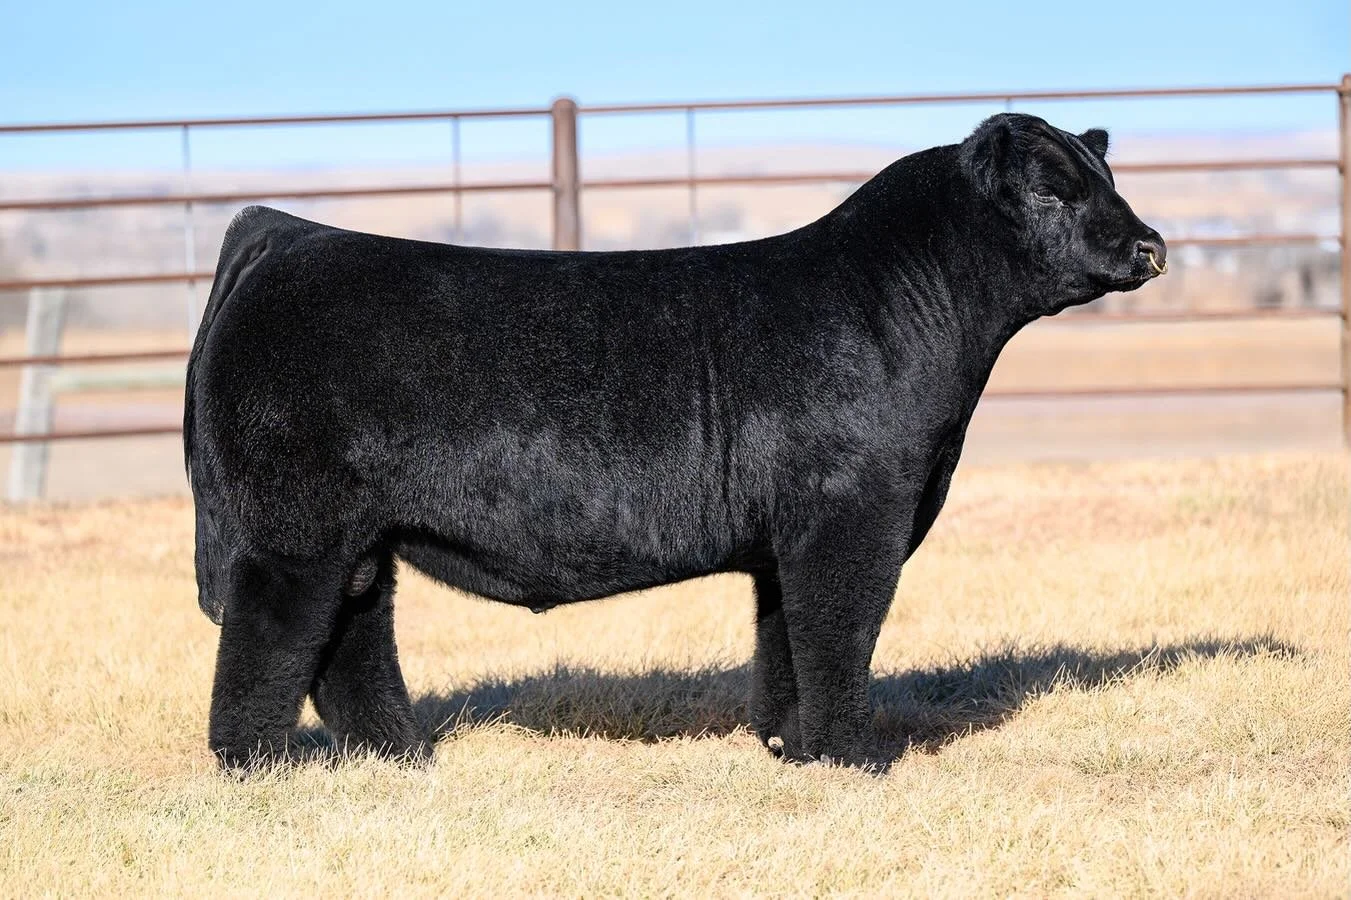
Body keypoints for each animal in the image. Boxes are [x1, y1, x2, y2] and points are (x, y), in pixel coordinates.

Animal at [185, 113, 1166, 770]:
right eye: (1049, 189)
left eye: (1109, 179)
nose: (1150, 246)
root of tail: (285, 233)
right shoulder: (851, 513)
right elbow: (840, 629)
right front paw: (854, 758)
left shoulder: (784, 539)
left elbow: (785, 642)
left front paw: (789, 748)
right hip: (292, 532)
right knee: (270, 637)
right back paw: (259, 769)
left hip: (356, 538)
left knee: (350, 637)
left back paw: (401, 757)